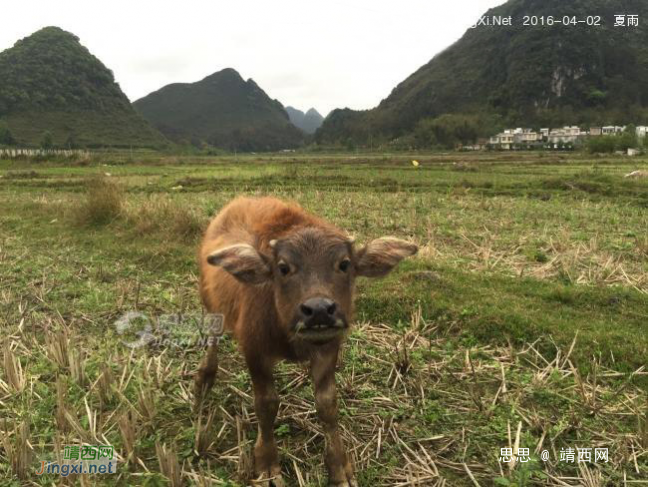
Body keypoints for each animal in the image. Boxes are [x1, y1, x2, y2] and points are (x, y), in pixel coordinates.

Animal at [196, 196, 416, 486]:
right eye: (283, 268)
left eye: (344, 264)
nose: (320, 310)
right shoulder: (254, 350)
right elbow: (266, 404)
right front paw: (267, 463)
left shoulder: (329, 348)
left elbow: (327, 404)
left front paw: (338, 467)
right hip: (210, 302)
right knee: (213, 336)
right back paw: (204, 379)